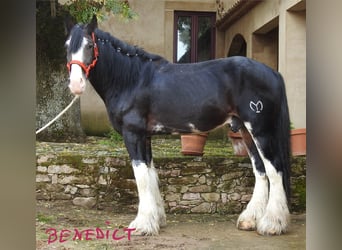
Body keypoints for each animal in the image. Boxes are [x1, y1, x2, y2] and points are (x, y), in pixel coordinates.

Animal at [65, 16, 292, 236]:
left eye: (89, 45)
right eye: (67, 46)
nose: (76, 84)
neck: (132, 79)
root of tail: (273, 72)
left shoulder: (133, 134)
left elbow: (141, 176)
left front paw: (141, 224)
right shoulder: (145, 136)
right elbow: (151, 174)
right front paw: (156, 219)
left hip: (260, 129)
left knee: (275, 169)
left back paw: (272, 224)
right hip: (245, 131)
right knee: (260, 169)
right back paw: (250, 219)